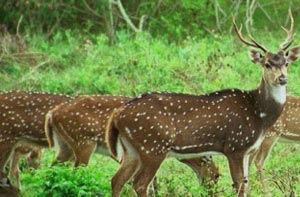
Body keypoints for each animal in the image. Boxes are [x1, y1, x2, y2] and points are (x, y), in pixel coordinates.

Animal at [44, 95, 218, 185]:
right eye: (216, 176)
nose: (212, 191)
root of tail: (52, 114)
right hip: (84, 142)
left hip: (65, 146)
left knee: (52, 167)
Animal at [105, 12, 300, 197]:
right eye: (267, 64)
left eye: (286, 63)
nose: (282, 78)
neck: (259, 114)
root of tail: (116, 115)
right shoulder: (234, 146)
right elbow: (238, 185)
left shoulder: (248, 150)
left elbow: (245, 184)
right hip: (152, 146)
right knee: (139, 183)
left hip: (131, 149)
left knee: (116, 180)